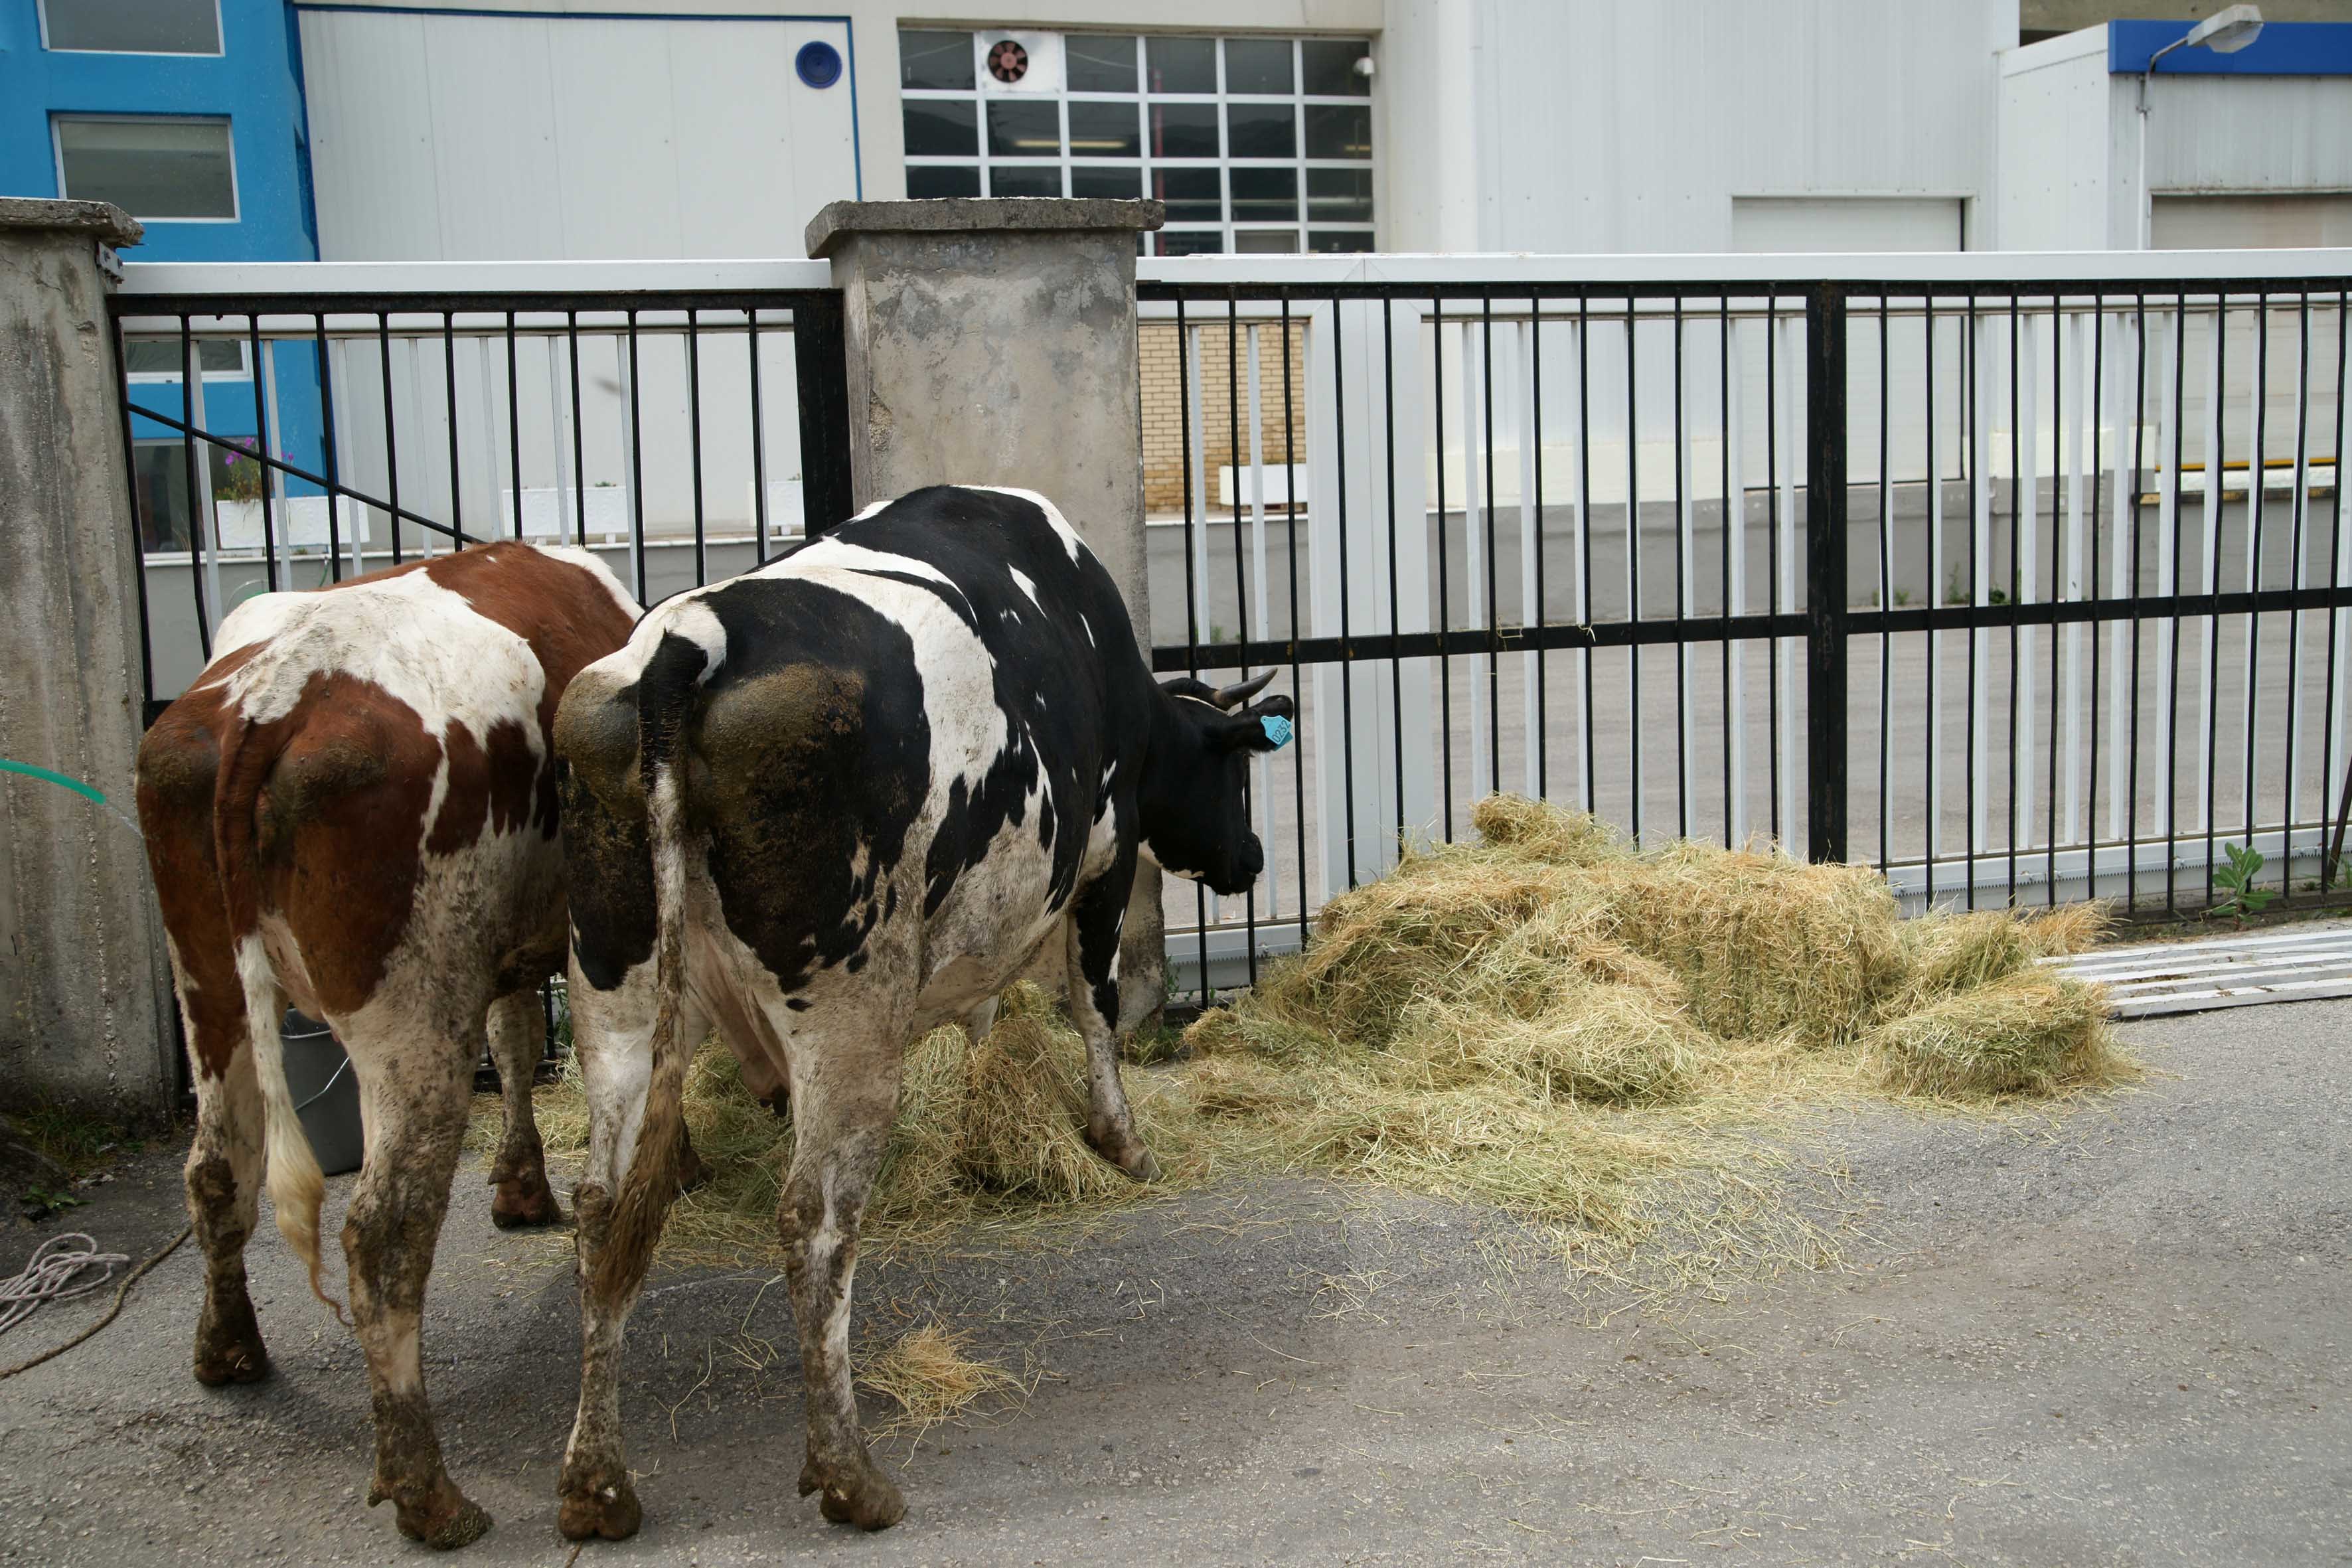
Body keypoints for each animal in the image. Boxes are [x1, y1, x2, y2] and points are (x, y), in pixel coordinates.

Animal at [136, 545, 635, 1551]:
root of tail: (269, 698)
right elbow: (523, 1037)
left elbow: (516, 1038)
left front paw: (520, 1185)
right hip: (413, 1009)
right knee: (383, 1233)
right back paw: (427, 1492)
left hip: (204, 977)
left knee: (217, 1167)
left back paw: (229, 1349)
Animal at [548, 487, 1298, 1532]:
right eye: (1235, 771)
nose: (1253, 859)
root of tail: (688, 641)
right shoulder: (1105, 857)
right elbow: (1094, 1003)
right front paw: (1122, 1140)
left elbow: (989, 1017)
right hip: (847, 1010)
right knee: (813, 1218)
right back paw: (850, 1472)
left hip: (615, 999)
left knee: (602, 1211)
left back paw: (596, 1481)